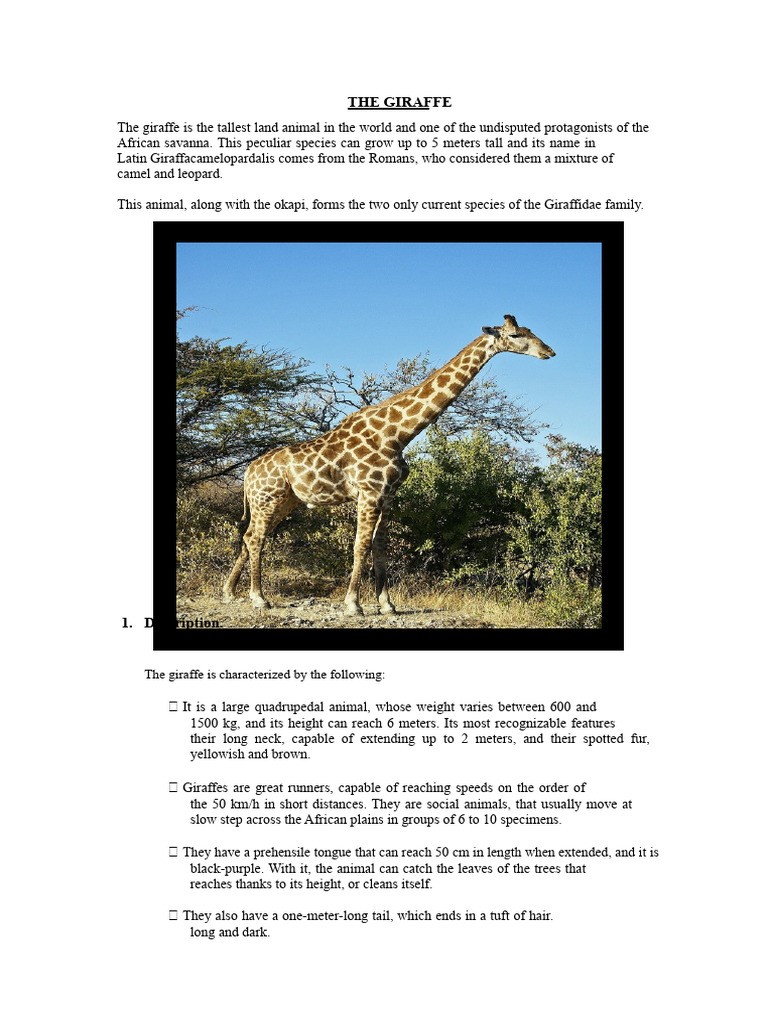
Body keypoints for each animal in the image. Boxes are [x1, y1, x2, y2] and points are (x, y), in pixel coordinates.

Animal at [223, 315, 555, 616]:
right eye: (515, 335)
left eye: (530, 330)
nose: (549, 351)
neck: (397, 434)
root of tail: (248, 472)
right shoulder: (369, 493)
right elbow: (360, 546)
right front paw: (353, 605)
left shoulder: (389, 495)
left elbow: (380, 547)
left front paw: (387, 604)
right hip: (267, 499)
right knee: (255, 537)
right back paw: (259, 598)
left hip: (284, 501)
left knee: (251, 536)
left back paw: (230, 592)